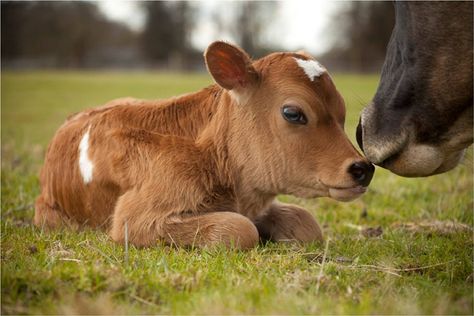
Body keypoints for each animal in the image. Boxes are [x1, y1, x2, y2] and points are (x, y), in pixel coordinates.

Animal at [35, 41, 374, 249]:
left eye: (343, 112)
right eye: (293, 113)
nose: (363, 168)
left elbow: (306, 223)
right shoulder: (135, 219)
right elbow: (240, 229)